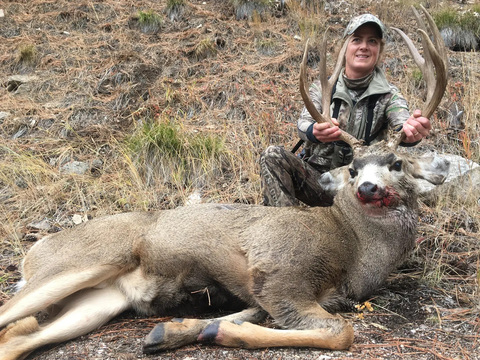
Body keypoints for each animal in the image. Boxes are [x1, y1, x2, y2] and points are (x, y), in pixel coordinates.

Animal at [0, 6, 450, 360]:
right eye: (354, 169)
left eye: (395, 162)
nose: (367, 189)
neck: (354, 250)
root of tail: (35, 249)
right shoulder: (279, 271)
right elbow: (342, 331)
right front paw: (215, 329)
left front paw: (173, 330)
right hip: (77, 263)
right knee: (13, 315)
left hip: (100, 300)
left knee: (17, 336)